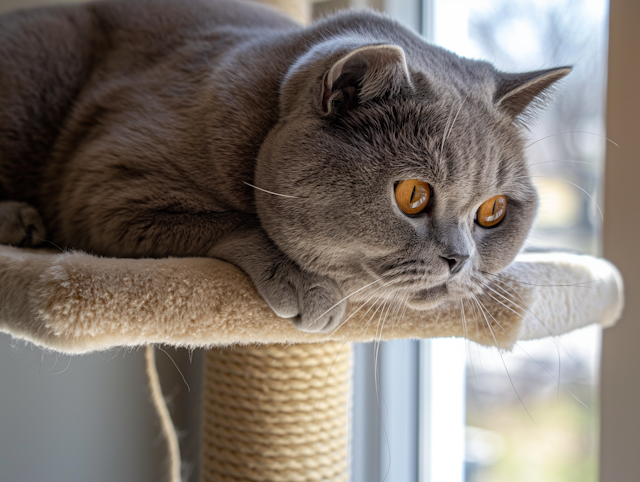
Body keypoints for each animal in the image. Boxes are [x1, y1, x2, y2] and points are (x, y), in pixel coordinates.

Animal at [0, 0, 568, 332]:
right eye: (413, 195)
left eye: (493, 211)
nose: (459, 259)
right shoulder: (104, 183)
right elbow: (241, 221)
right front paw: (305, 283)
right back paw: (19, 221)